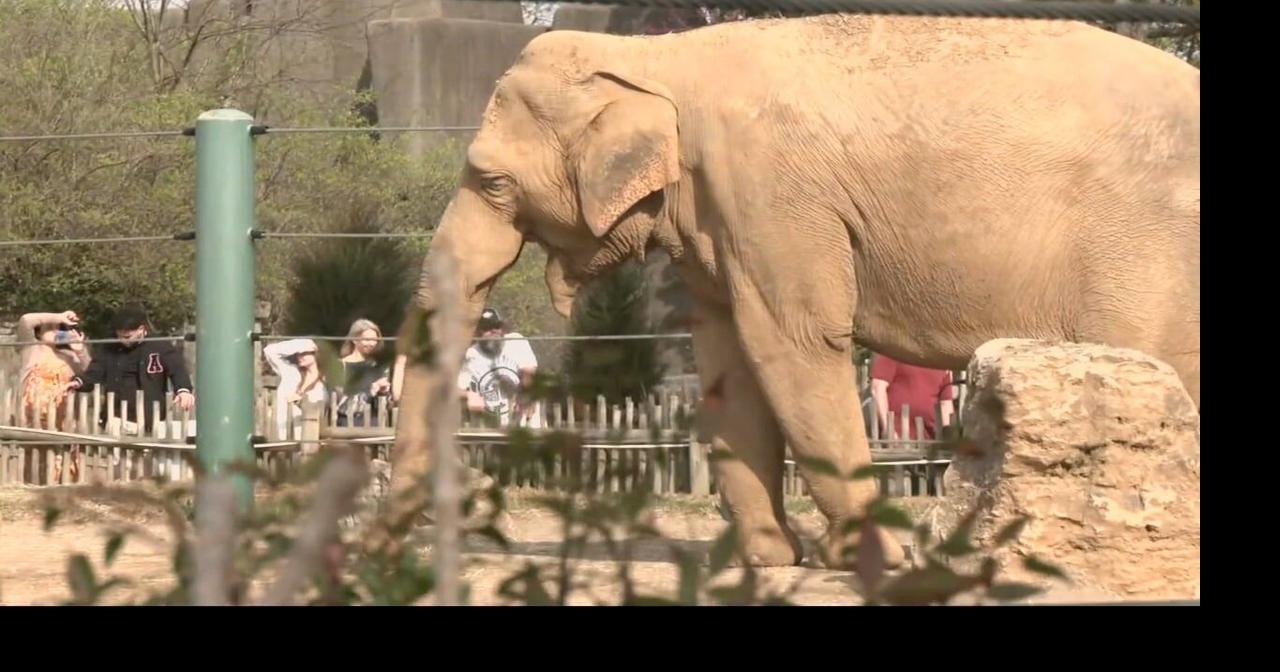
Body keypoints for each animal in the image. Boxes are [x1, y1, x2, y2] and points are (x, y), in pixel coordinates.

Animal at [372, 14, 1200, 569]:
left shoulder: (769, 195)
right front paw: (775, 558)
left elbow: (794, 345)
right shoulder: (715, 219)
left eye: (493, 183)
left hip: (1144, 251)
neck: (658, 58)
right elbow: (729, 366)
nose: (396, 541)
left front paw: (874, 561)